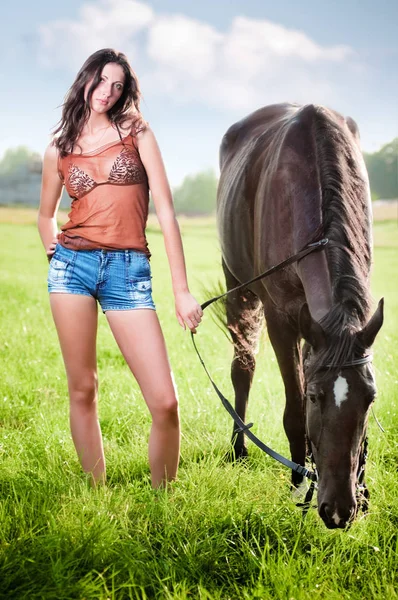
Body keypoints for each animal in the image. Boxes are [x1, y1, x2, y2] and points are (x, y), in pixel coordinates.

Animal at [216, 103, 384, 528]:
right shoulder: (281, 318)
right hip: (237, 285)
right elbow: (293, 408)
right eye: (315, 397)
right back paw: (240, 448)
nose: (339, 510)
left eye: (371, 398)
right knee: (243, 368)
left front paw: (362, 492)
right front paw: (297, 483)